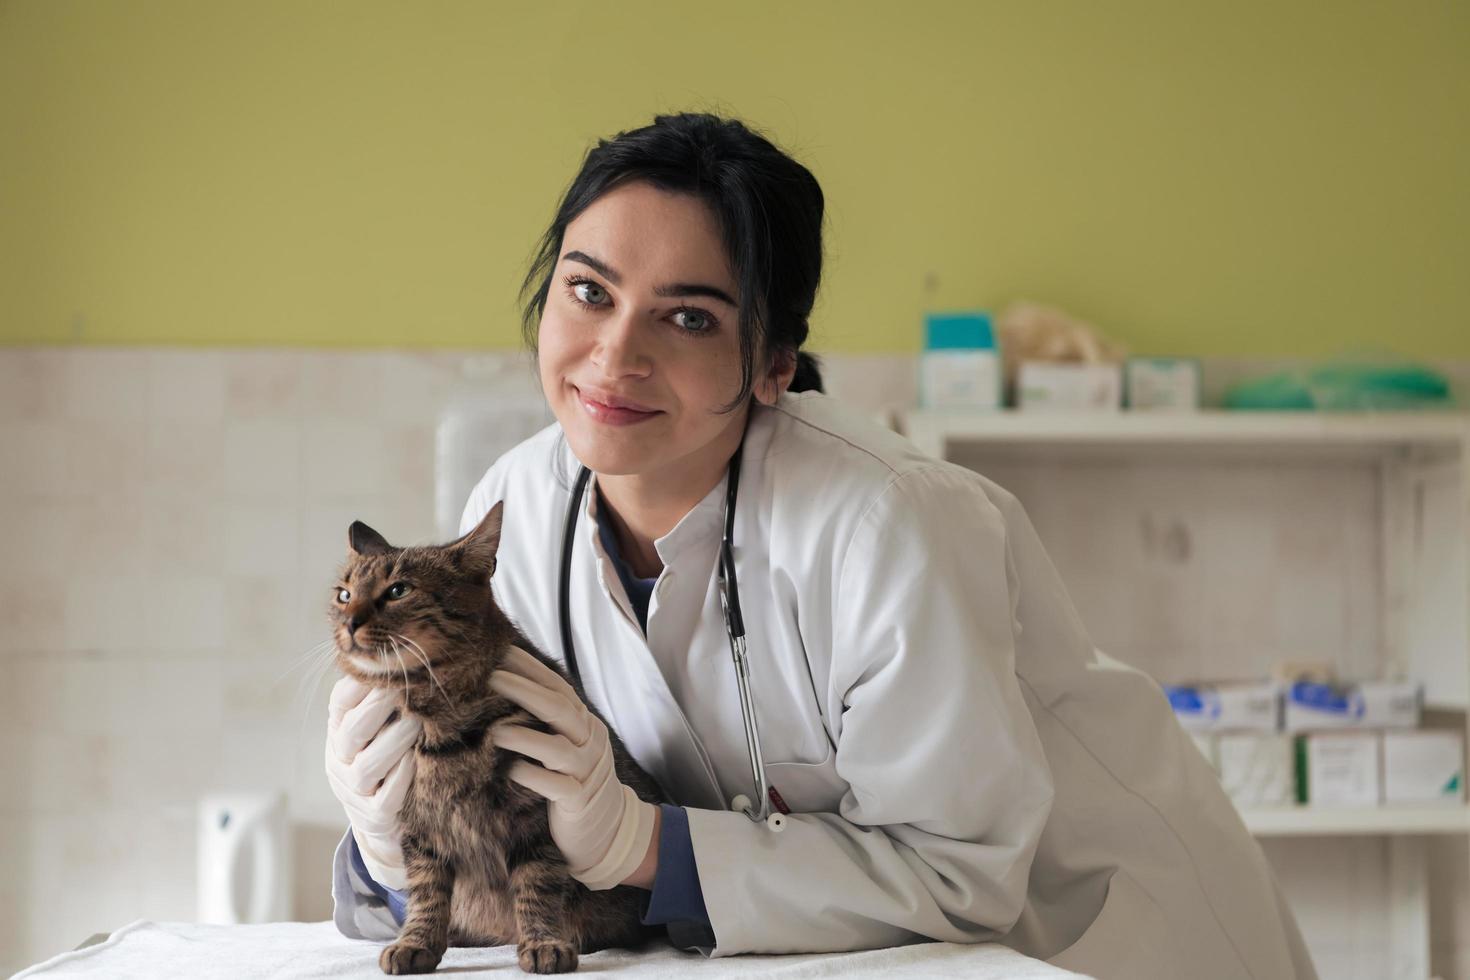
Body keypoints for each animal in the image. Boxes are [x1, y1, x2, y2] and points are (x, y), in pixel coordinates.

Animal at [329, 502, 667, 975]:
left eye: (398, 590)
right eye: (343, 594)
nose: (350, 620)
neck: (438, 728)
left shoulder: (537, 818)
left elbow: (536, 885)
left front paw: (544, 943)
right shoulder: (419, 830)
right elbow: (426, 893)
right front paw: (416, 942)